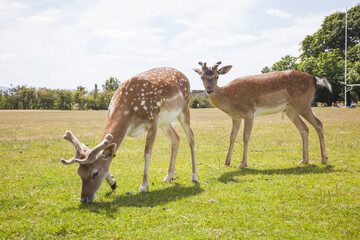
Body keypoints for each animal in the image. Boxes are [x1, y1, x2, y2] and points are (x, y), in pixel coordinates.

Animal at [60, 67, 198, 202]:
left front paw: (143, 186)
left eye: (95, 173)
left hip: (184, 108)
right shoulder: (156, 121)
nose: (84, 198)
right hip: (165, 121)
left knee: (191, 136)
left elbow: (147, 152)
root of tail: (184, 75)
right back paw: (169, 176)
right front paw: (113, 183)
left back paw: (194, 176)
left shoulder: (153, 120)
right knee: (176, 138)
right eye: (79, 173)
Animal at [194, 60, 332, 169]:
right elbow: (232, 137)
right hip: (290, 109)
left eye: (217, 76)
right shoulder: (236, 117)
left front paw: (243, 164)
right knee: (304, 128)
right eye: (201, 77)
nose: (209, 90)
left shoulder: (249, 111)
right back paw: (304, 160)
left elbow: (245, 136)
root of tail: (313, 78)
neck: (230, 99)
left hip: (303, 102)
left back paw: (324, 160)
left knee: (318, 124)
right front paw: (226, 162)